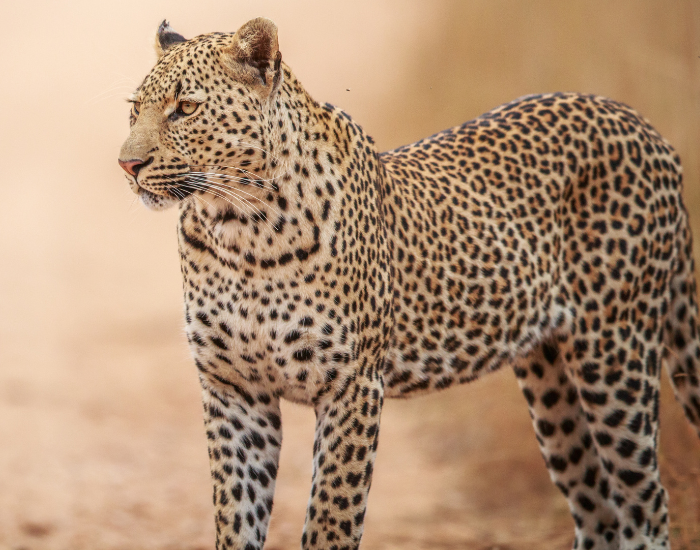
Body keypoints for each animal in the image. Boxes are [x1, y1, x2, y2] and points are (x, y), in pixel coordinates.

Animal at [118, 17, 700, 550]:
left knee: (645, 502)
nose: (128, 164)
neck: (239, 230)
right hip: (550, 378)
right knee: (599, 510)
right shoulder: (234, 389)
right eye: (134, 108)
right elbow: (235, 519)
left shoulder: (351, 387)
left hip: (615, 355)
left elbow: (331, 520)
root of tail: (645, 127)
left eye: (185, 108)